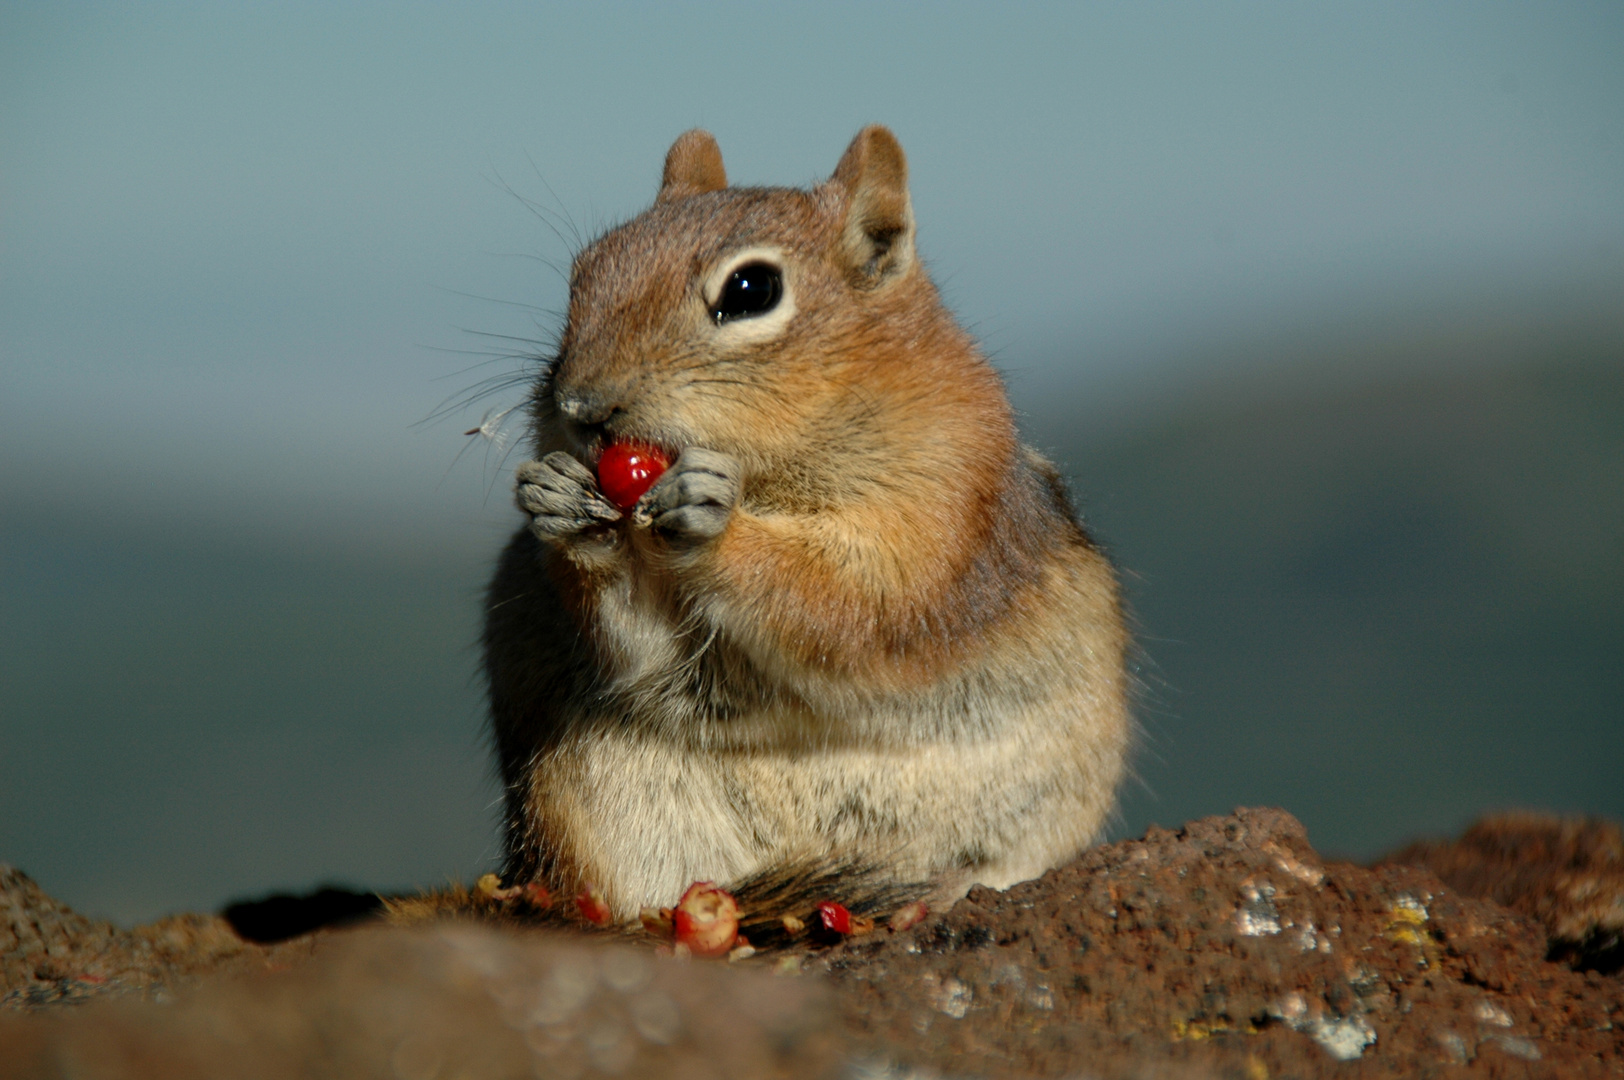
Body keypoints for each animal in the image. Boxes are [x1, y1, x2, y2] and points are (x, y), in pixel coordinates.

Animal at [477, 124, 1130, 915]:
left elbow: (851, 602)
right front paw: (563, 504)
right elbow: (633, 651)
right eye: (583, 271)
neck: (769, 479)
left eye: (750, 290)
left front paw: (717, 525)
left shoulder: (942, 510)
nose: (579, 407)